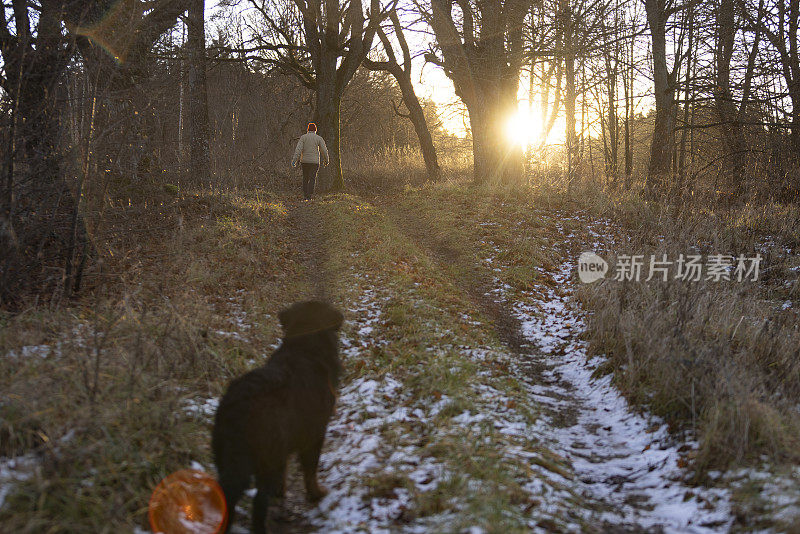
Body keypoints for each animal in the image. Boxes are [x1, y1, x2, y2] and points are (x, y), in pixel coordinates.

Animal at [211, 302, 342, 534]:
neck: (305, 348)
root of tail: (241, 405)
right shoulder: (315, 432)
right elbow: (311, 468)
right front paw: (316, 493)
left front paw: (282, 490)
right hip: (265, 458)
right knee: (259, 502)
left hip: (224, 455)